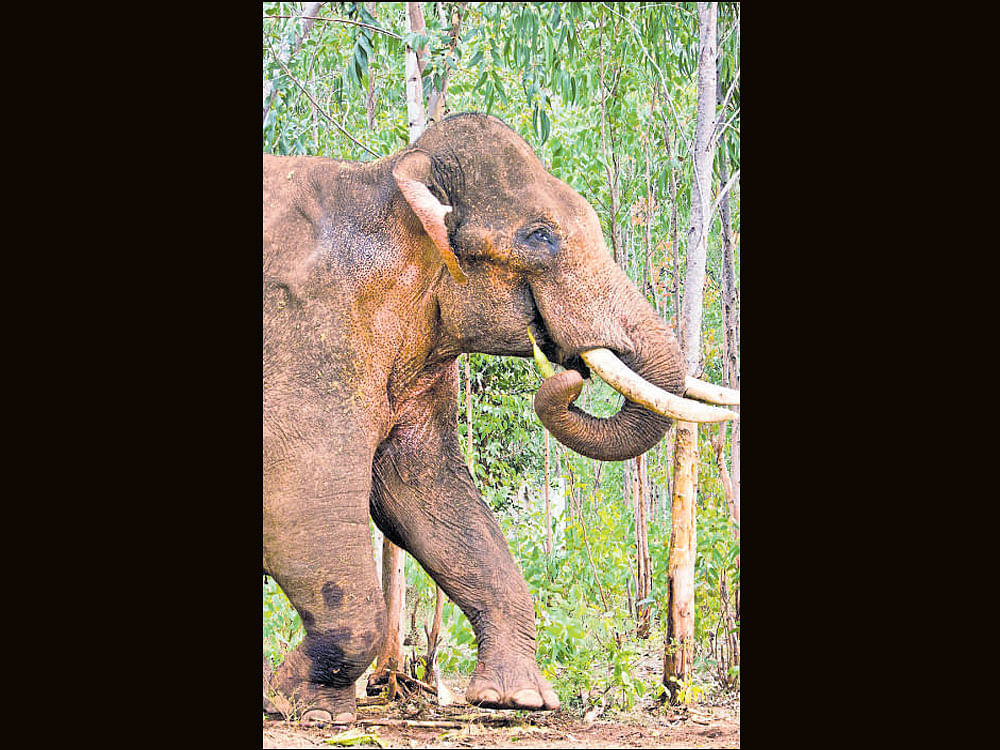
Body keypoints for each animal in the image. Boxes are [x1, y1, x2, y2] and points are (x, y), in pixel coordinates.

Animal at [262, 113, 740, 728]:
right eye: (541, 236)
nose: (568, 372)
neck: (388, 179)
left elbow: (425, 491)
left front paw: (517, 700)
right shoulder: (306, 331)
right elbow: (301, 495)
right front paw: (307, 708)